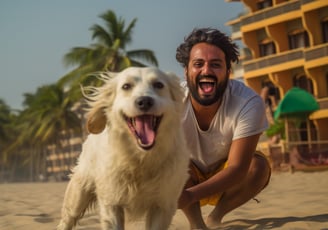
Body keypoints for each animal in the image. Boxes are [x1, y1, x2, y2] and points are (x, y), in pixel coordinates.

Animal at [57, 66, 190, 230]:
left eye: (159, 85)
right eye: (126, 86)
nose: (144, 101)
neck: (141, 159)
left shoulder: (163, 205)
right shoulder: (111, 203)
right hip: (78, 193)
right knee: (67, 218)